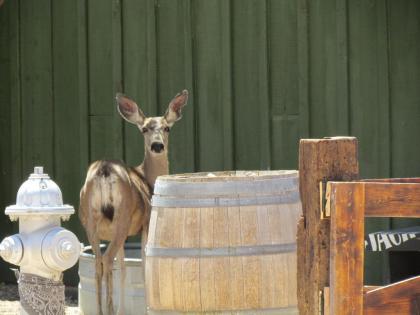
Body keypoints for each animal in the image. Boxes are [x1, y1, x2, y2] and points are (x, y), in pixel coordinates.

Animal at [78, 89, 189, 315]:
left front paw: (123, 309)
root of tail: (105, 170)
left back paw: (102, 310)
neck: (147, 178)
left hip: (90, 220)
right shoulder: (146, 223)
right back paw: (109, 310)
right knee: (106, 260)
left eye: (167, 128)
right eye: (145, 129)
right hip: (123, 215)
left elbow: (123, 269)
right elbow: (145, 265)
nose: (157, 145)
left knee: (98, 262)